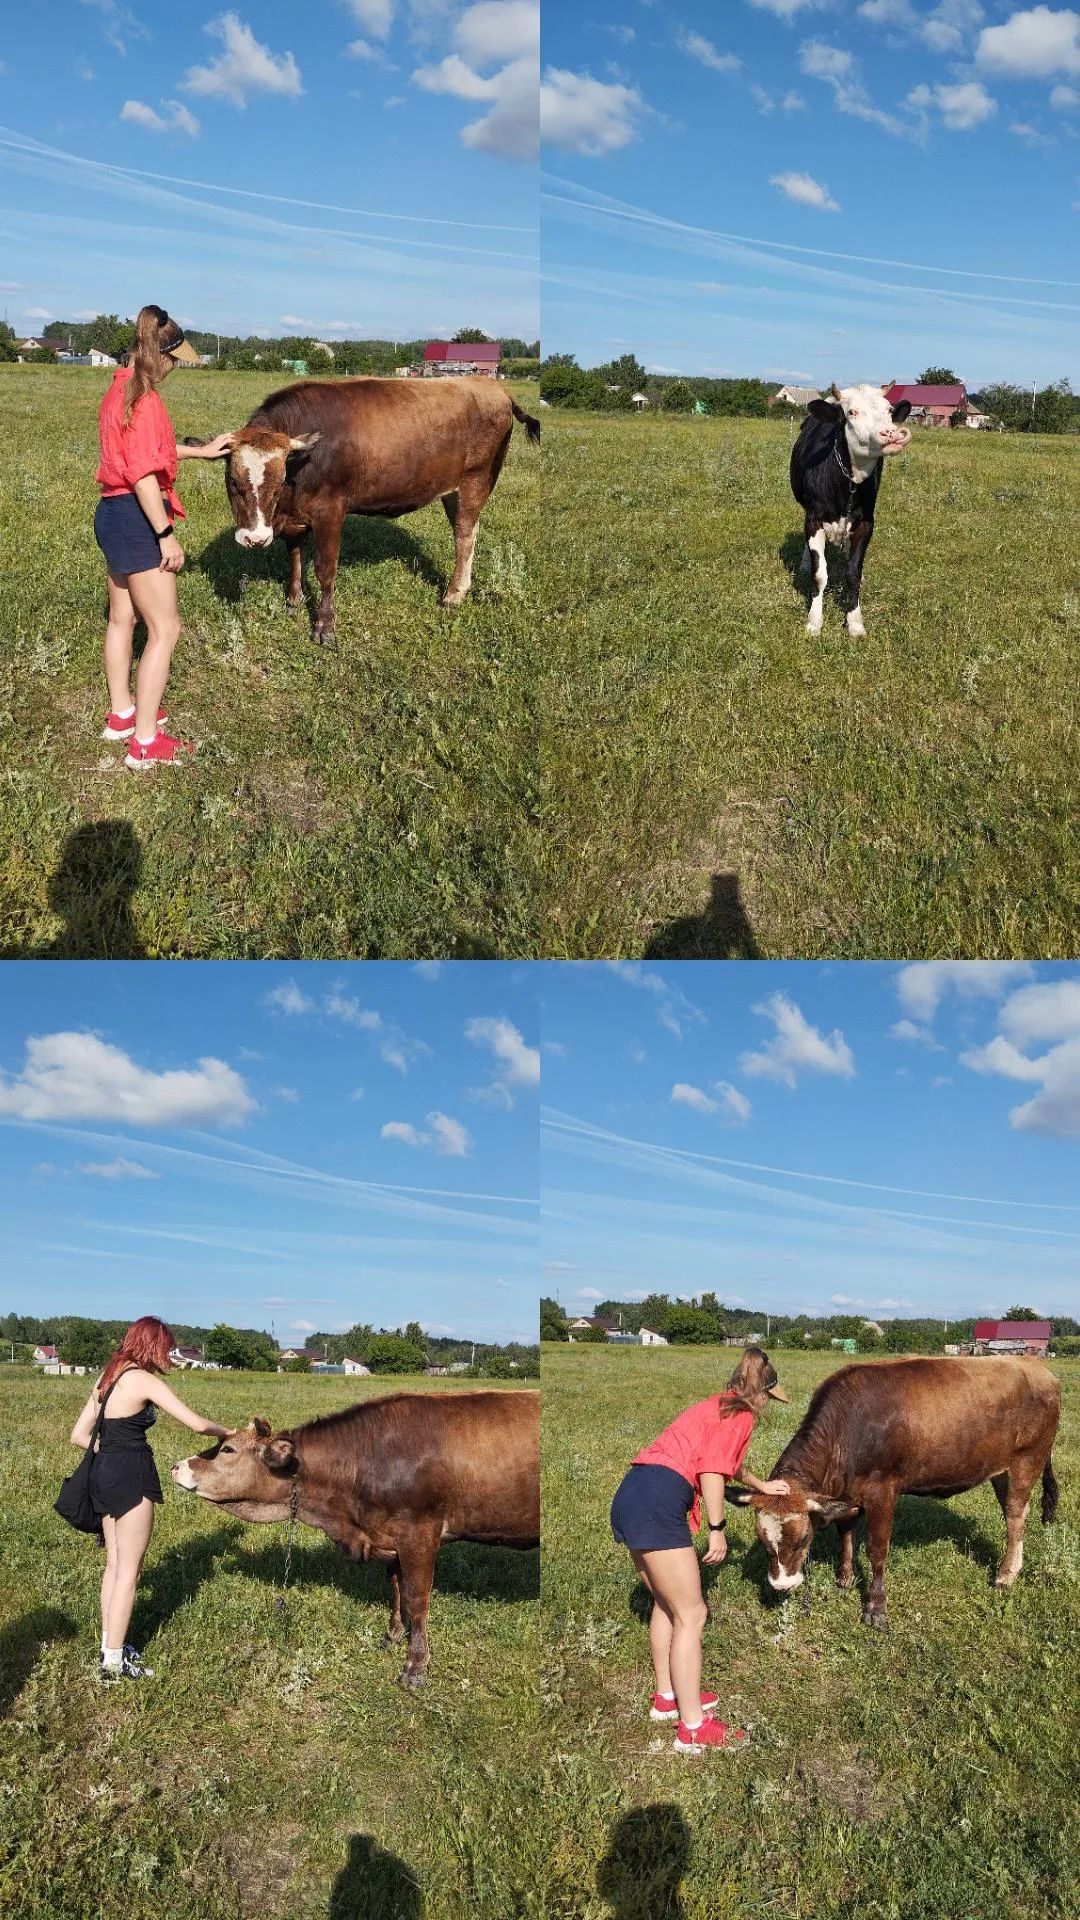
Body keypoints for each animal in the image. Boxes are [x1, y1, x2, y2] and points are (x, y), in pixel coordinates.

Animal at [170, 1390, 534, 1689]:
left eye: (228, 1449)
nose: (175, 1466)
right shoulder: (390, 1536)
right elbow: (397, 1589)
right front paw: (392, 1636)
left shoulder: (420, 1533)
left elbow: (417, 1599)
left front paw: (415, 1667)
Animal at [220, 376, 538, 645]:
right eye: (233, 481)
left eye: (277, 483)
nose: (255, 539)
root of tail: (493, 385)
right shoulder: (293, 517)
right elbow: (295, 556)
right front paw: (293, 599)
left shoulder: (330, 510)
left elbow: (325, 569)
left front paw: (325, 626)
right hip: (453, 490)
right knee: (469, 530)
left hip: (476, 479)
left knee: (464, 534)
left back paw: (453, 595)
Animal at [745, 1359, 1053, 1628]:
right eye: (763, 1540)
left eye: (803, 1538)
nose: (781, 1586)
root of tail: (1036, 1366)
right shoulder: (847, 1494)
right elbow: (845, 1534)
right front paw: (844, 1579)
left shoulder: (882, 1490)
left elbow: (877, 1549)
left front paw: (876, 1607)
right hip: (1000, 1471)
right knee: (1016, 1512)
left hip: (1028, 1459)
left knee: (1014, 1517)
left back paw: (1004, 1576)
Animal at [791, 382, 907, 637]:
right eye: (852, 412)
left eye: (889, 410)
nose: (891, 433)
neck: (849, 483)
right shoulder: (813, 519)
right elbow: (819, 574)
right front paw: (814, 621)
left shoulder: (865, 522)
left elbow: (852, 573)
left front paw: (855, 622)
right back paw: (805, 563)